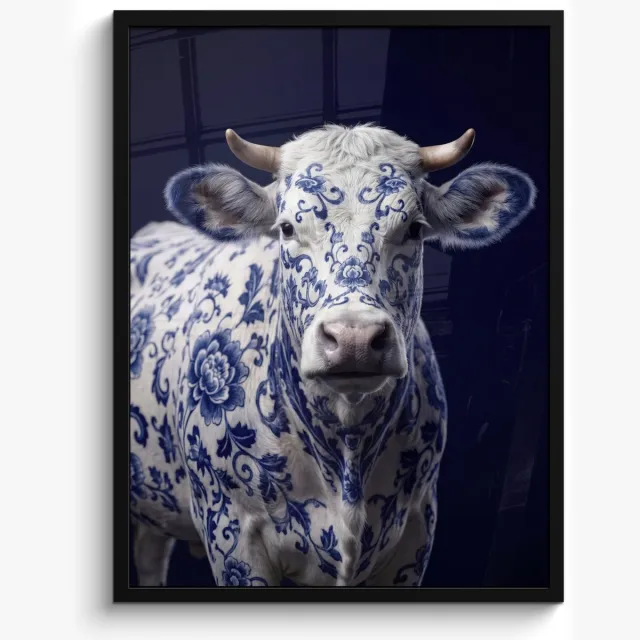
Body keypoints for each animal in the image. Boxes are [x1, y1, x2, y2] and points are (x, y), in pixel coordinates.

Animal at [129, 123, 536, 587]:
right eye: (287, 228)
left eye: (414, 228)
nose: (353, 337)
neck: (347, 450)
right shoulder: (231, 533)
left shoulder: (417, 528)